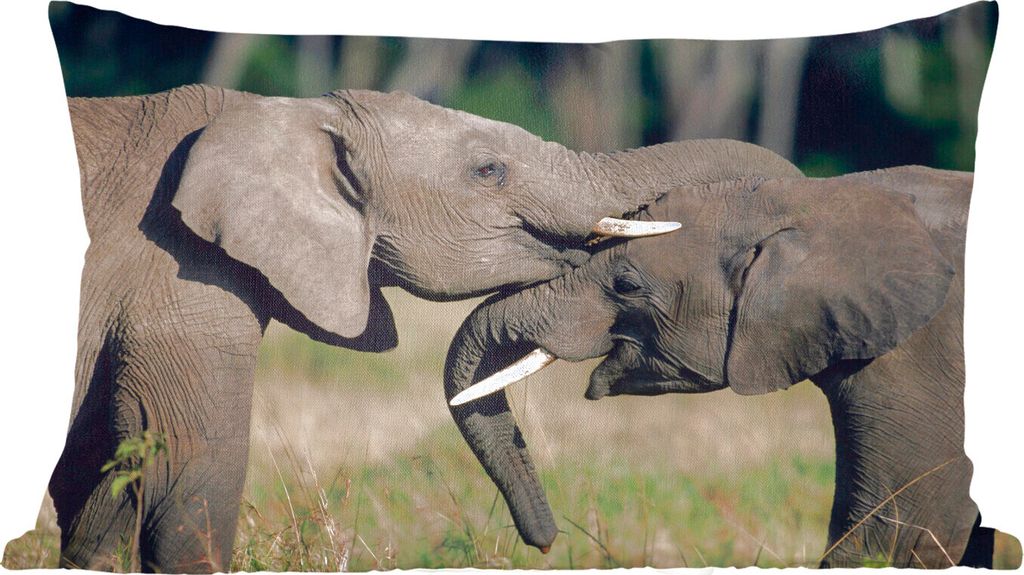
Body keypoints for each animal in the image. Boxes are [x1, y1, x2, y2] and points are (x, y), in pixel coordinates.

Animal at [39, 83, 802, 572]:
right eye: (490, 171)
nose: (548, 542)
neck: (278, 114)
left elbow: (98, 485)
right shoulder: (177, 274)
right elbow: (190, 468)